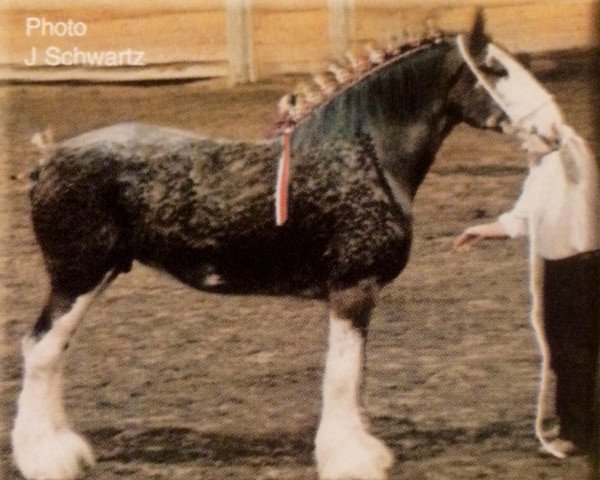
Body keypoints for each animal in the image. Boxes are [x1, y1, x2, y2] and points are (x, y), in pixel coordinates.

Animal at [11, 16, 510, 480]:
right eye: (495, 69)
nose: (523, 122)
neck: (364, 152)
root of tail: (46, 161)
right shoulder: (354, 288)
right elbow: (344, 375)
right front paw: (351, 458)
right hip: (77, 277)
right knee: (41, 349)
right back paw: (46, 458)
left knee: (53, 350)